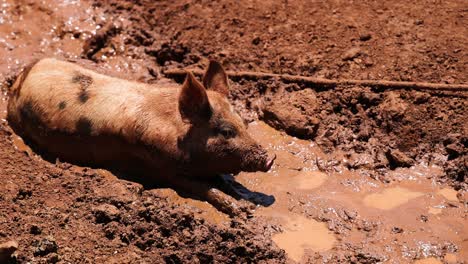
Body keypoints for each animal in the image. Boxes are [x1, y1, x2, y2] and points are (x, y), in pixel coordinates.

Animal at [7, 58, 276, 216]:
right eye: (227, 132)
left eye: (243, 123)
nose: (270, 158)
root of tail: (23, 75)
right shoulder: (162, 167)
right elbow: (205, 188)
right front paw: (240, 211)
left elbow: (222, 181)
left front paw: (246, 200)